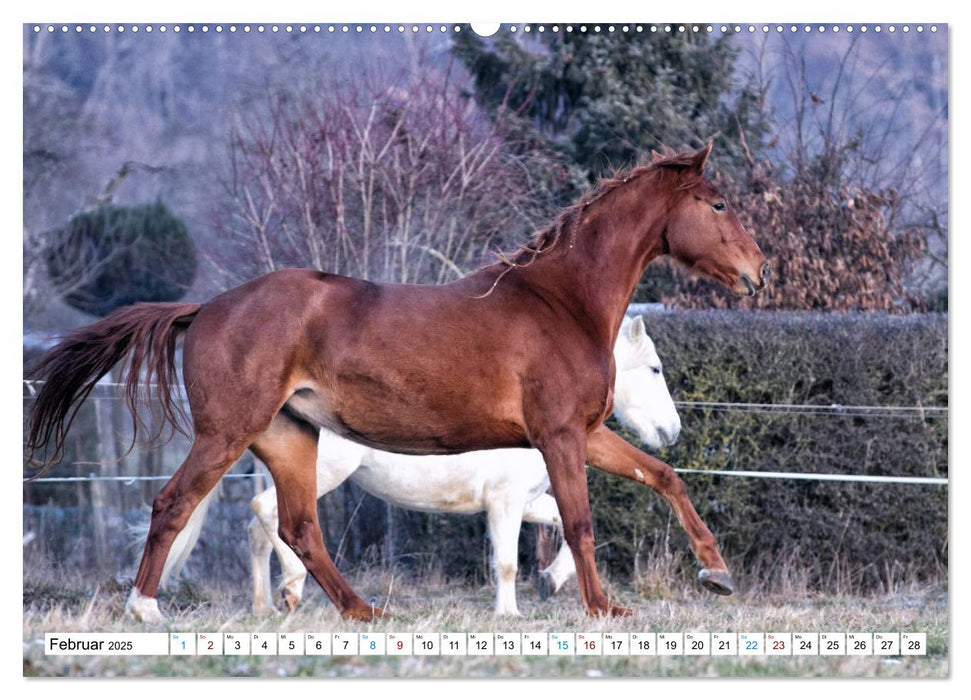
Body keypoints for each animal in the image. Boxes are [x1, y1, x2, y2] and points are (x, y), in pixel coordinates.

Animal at [161, 318, 676, 616]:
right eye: (654, 368)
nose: (673, 431)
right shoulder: (505, 502)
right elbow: (507, 561)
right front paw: (509, 615)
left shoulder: (526, 501)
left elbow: (565, 529)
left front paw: (550, 581)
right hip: (321, 474)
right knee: (269, 515)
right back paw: (291, 588)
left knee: (257, 529)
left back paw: (266, 607)